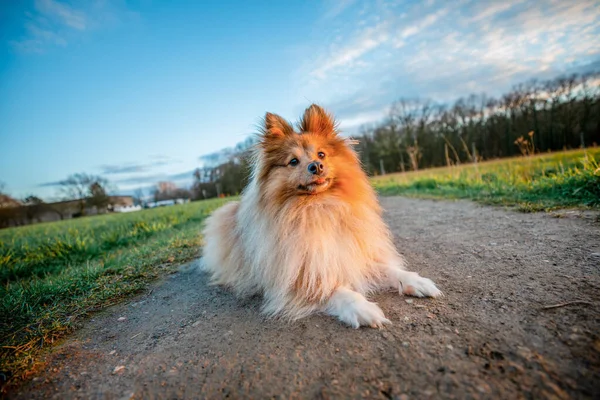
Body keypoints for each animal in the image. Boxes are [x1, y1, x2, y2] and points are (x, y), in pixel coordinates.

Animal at [202, 104, 440, 328]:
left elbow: (389, 270)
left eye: (321, 154)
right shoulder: (297, 275)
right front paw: (361, 308)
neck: (318, 207)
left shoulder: (350, 255)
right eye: (293, 161)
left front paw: (416, 281)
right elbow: (333, 289)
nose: (316, 166)